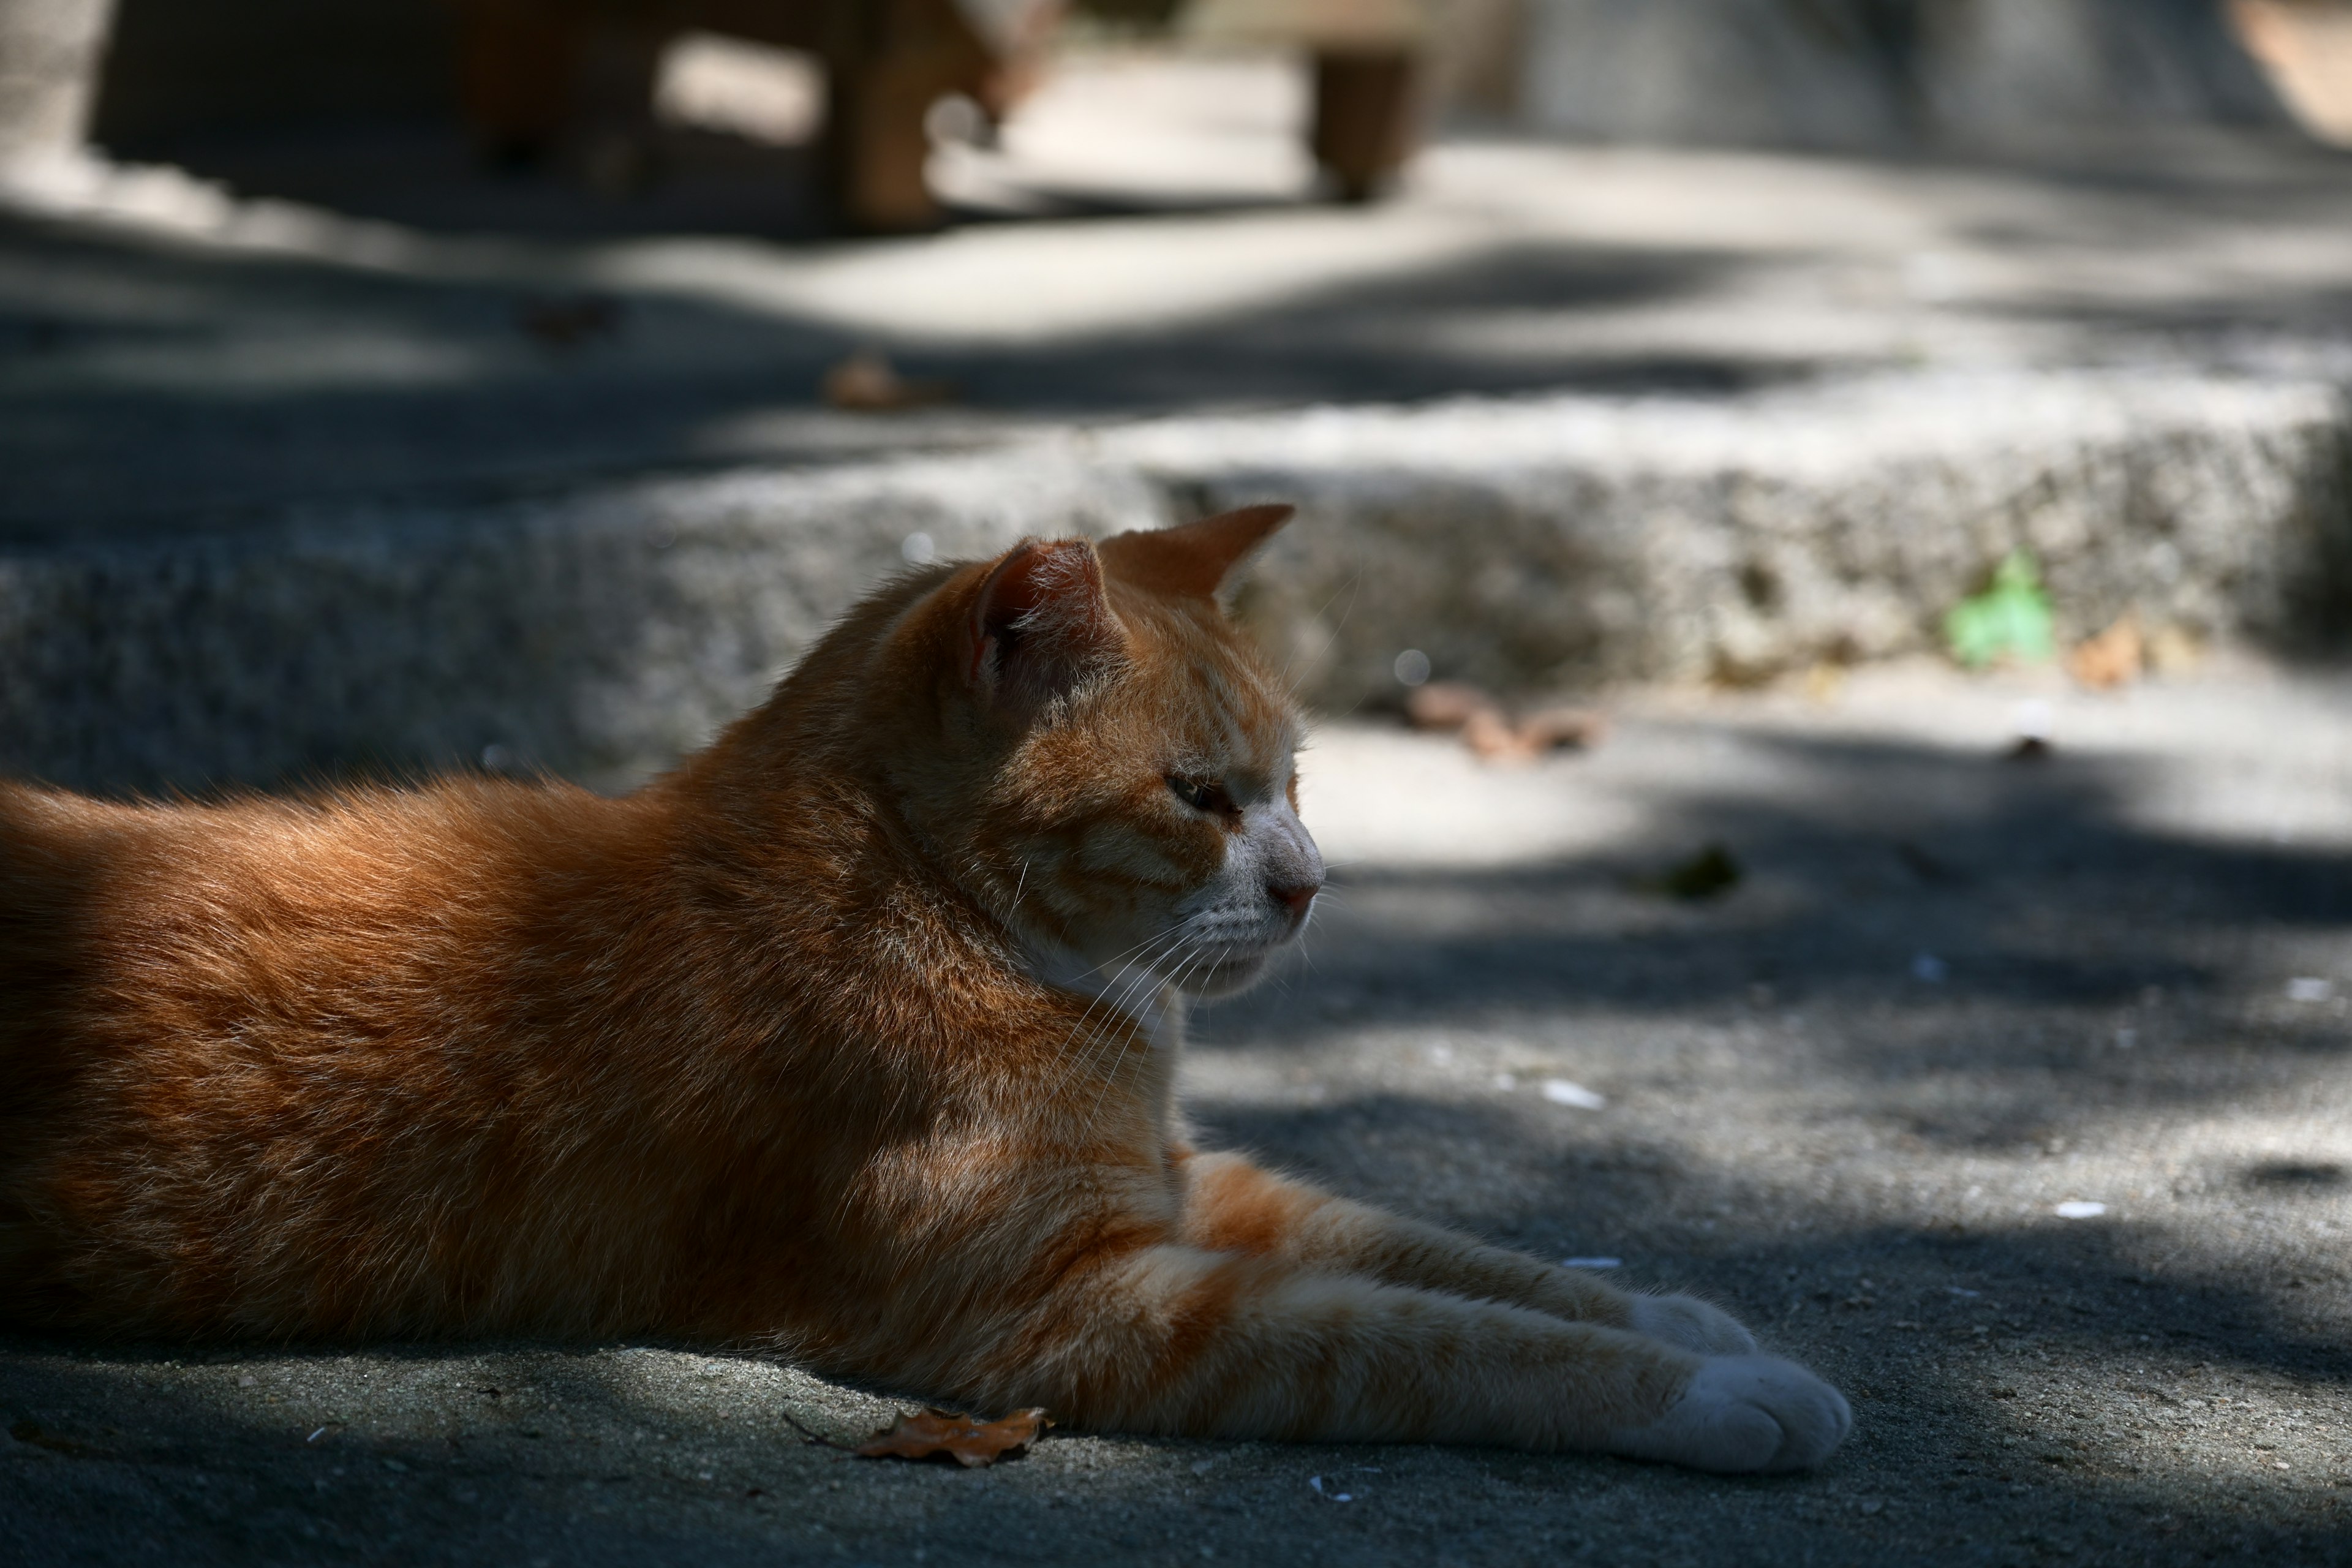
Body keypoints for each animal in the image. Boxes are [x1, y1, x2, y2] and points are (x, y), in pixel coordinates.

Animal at [0, 505, 1853, 1476]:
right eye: (1201, 796)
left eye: (1299, 780)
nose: (1313, 882)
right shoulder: (1066, 1309)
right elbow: (1426, 1336)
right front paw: (1718, 1394)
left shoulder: (1187, 1184)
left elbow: (1451, 1251)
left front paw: (1674, 1313)